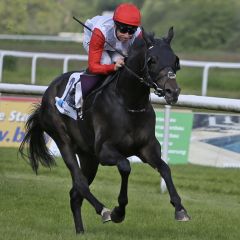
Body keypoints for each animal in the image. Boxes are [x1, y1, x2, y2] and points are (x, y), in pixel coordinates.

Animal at [19, 27, 190, 232]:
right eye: (152, 60)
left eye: (175, 60)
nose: (173, 92)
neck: (129, 103)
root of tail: (48, 92)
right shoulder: (104, 151)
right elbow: (125, 166)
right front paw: (118, 211)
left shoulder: (147, 149)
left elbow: (165, 168)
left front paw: (180, 208)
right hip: (63, 140)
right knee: (81, 184)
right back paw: (104, 210)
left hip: (88, 157)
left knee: (75, 194)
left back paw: (81, 231)